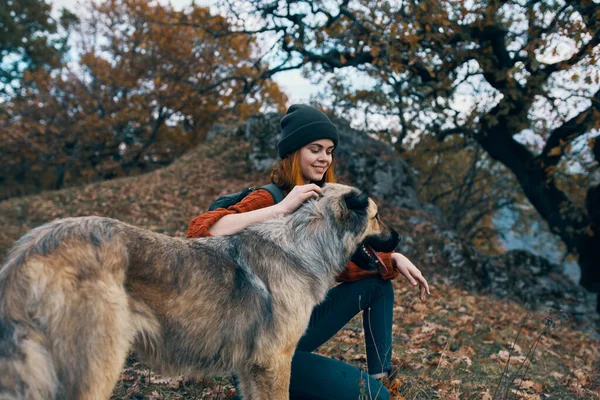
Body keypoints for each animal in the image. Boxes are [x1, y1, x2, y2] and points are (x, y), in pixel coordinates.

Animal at [1, 183, 404, 398]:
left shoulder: (250, 367)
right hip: (96, 365)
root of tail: (31, 247)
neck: (304, 242)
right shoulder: (274, 362)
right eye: (378, 216)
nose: (400, 238)